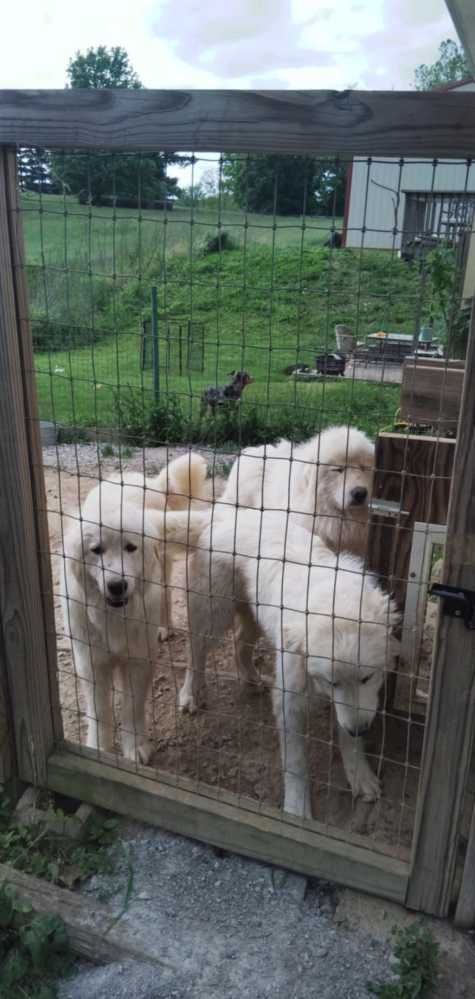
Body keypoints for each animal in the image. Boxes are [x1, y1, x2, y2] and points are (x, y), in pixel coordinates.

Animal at [61, 453, 208, 762]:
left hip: (162, 574)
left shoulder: (138, 661)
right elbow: (100, 713)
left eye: (130, 548)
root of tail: (145, 479)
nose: (117, 585)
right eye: (96, 550)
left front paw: (135, 748)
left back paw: (165, 628)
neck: (113, 616)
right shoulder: (92, 664)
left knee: (166, 596)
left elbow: (131, 708)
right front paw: (99, 749)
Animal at [179, 508, 399, 817]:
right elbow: (296, 764)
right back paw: (190, 694)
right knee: (195, 653)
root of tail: (223, 513)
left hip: (254, 615)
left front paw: (360, 775)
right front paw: (296, 809)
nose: (361, 730)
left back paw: (251, 679)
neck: (332, 602)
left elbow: (349, 738)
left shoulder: (356, 707)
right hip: (212, 616)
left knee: (239, 644)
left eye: (367, 678)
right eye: (331, 682)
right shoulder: (289, 702)